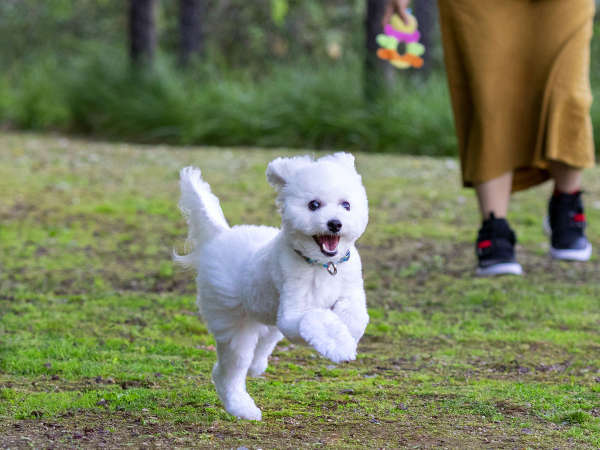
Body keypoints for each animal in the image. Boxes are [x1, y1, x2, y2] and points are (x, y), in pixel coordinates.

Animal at [175, 153, 370, 420]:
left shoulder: (350, 292)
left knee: (263, 342)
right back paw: (242, 407)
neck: (322, 265)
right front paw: (337, 344)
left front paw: (346, 336)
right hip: (233, 324)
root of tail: (221, 236)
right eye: (314, 205)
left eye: (346, 205)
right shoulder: (292, 314)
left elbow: (356, 318)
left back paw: (256, 366)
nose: (335, 224)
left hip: (266, 316)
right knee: (228, 371)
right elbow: (315, 319)